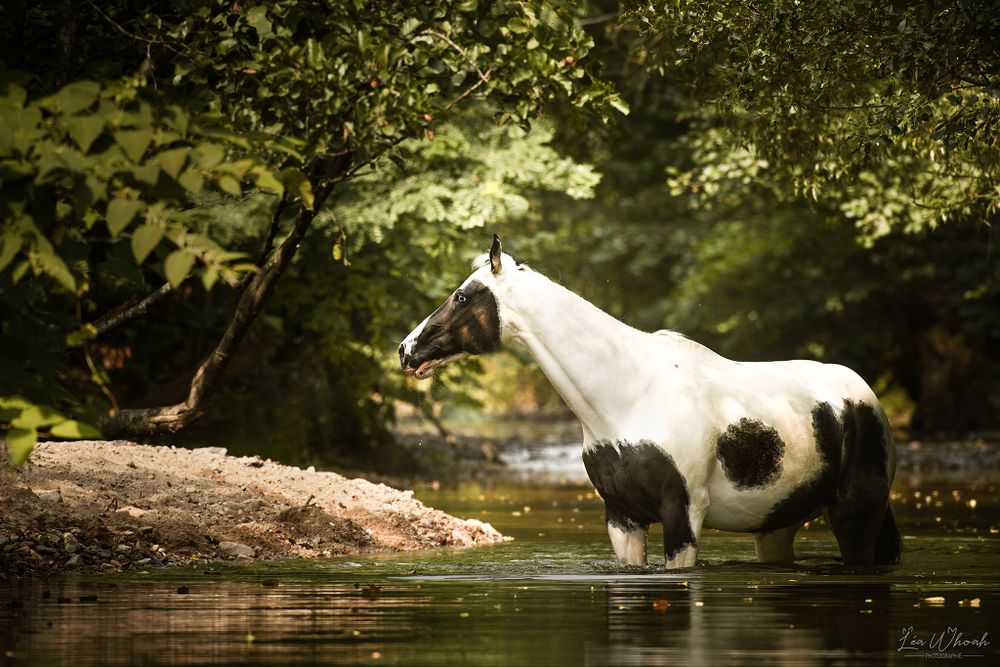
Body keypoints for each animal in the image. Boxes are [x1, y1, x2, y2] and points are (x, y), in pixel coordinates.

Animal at [399, 236, 901, 569]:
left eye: (462, 296)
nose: (407, 350)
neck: (626, 395)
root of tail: (865, 396)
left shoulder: (683, 517)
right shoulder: (622, 519)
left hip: (856, 515)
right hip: (777, 526)